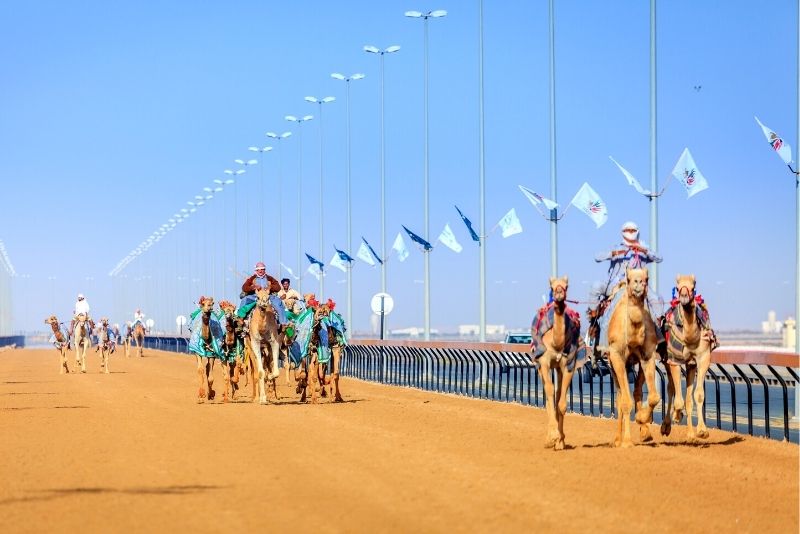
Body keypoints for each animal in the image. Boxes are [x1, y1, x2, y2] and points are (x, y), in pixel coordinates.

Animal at [528, 280, 584, 452]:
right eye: (551, 285)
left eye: (566, 285)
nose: (559, 293)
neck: (556, 343)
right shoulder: (544, 362)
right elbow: (549, 393)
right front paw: (553, 437)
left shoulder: (568, 364)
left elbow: (562, 403)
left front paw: (560, 440)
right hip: (540, 366)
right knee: (548, 394)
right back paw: (549, 439)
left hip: (558, 368)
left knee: (558, 393)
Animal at [608, 268, 664, 448]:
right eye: (629, 278)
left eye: (647, 278)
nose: (639, 282)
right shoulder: (616, 356)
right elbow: (625, 401)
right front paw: (626, 441)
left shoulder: (648, 355)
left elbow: (654, 396)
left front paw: (641, 421)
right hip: (613, 364)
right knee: (620, 395)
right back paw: (618, 439)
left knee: (637, 391)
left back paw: (644, 431)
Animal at [660, 274, 716, 442]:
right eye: (678, 287)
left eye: (693, 286)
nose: (684, 296)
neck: (690, 338)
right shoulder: (674, 359)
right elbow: (678, 400)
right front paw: (677, 416)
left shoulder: (703, 358)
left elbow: (697, 395)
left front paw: (702, 431)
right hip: (666, 360)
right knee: (671, 388)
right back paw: (666, 426)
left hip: (690, 365)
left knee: (688, 397)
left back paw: (690, 435)